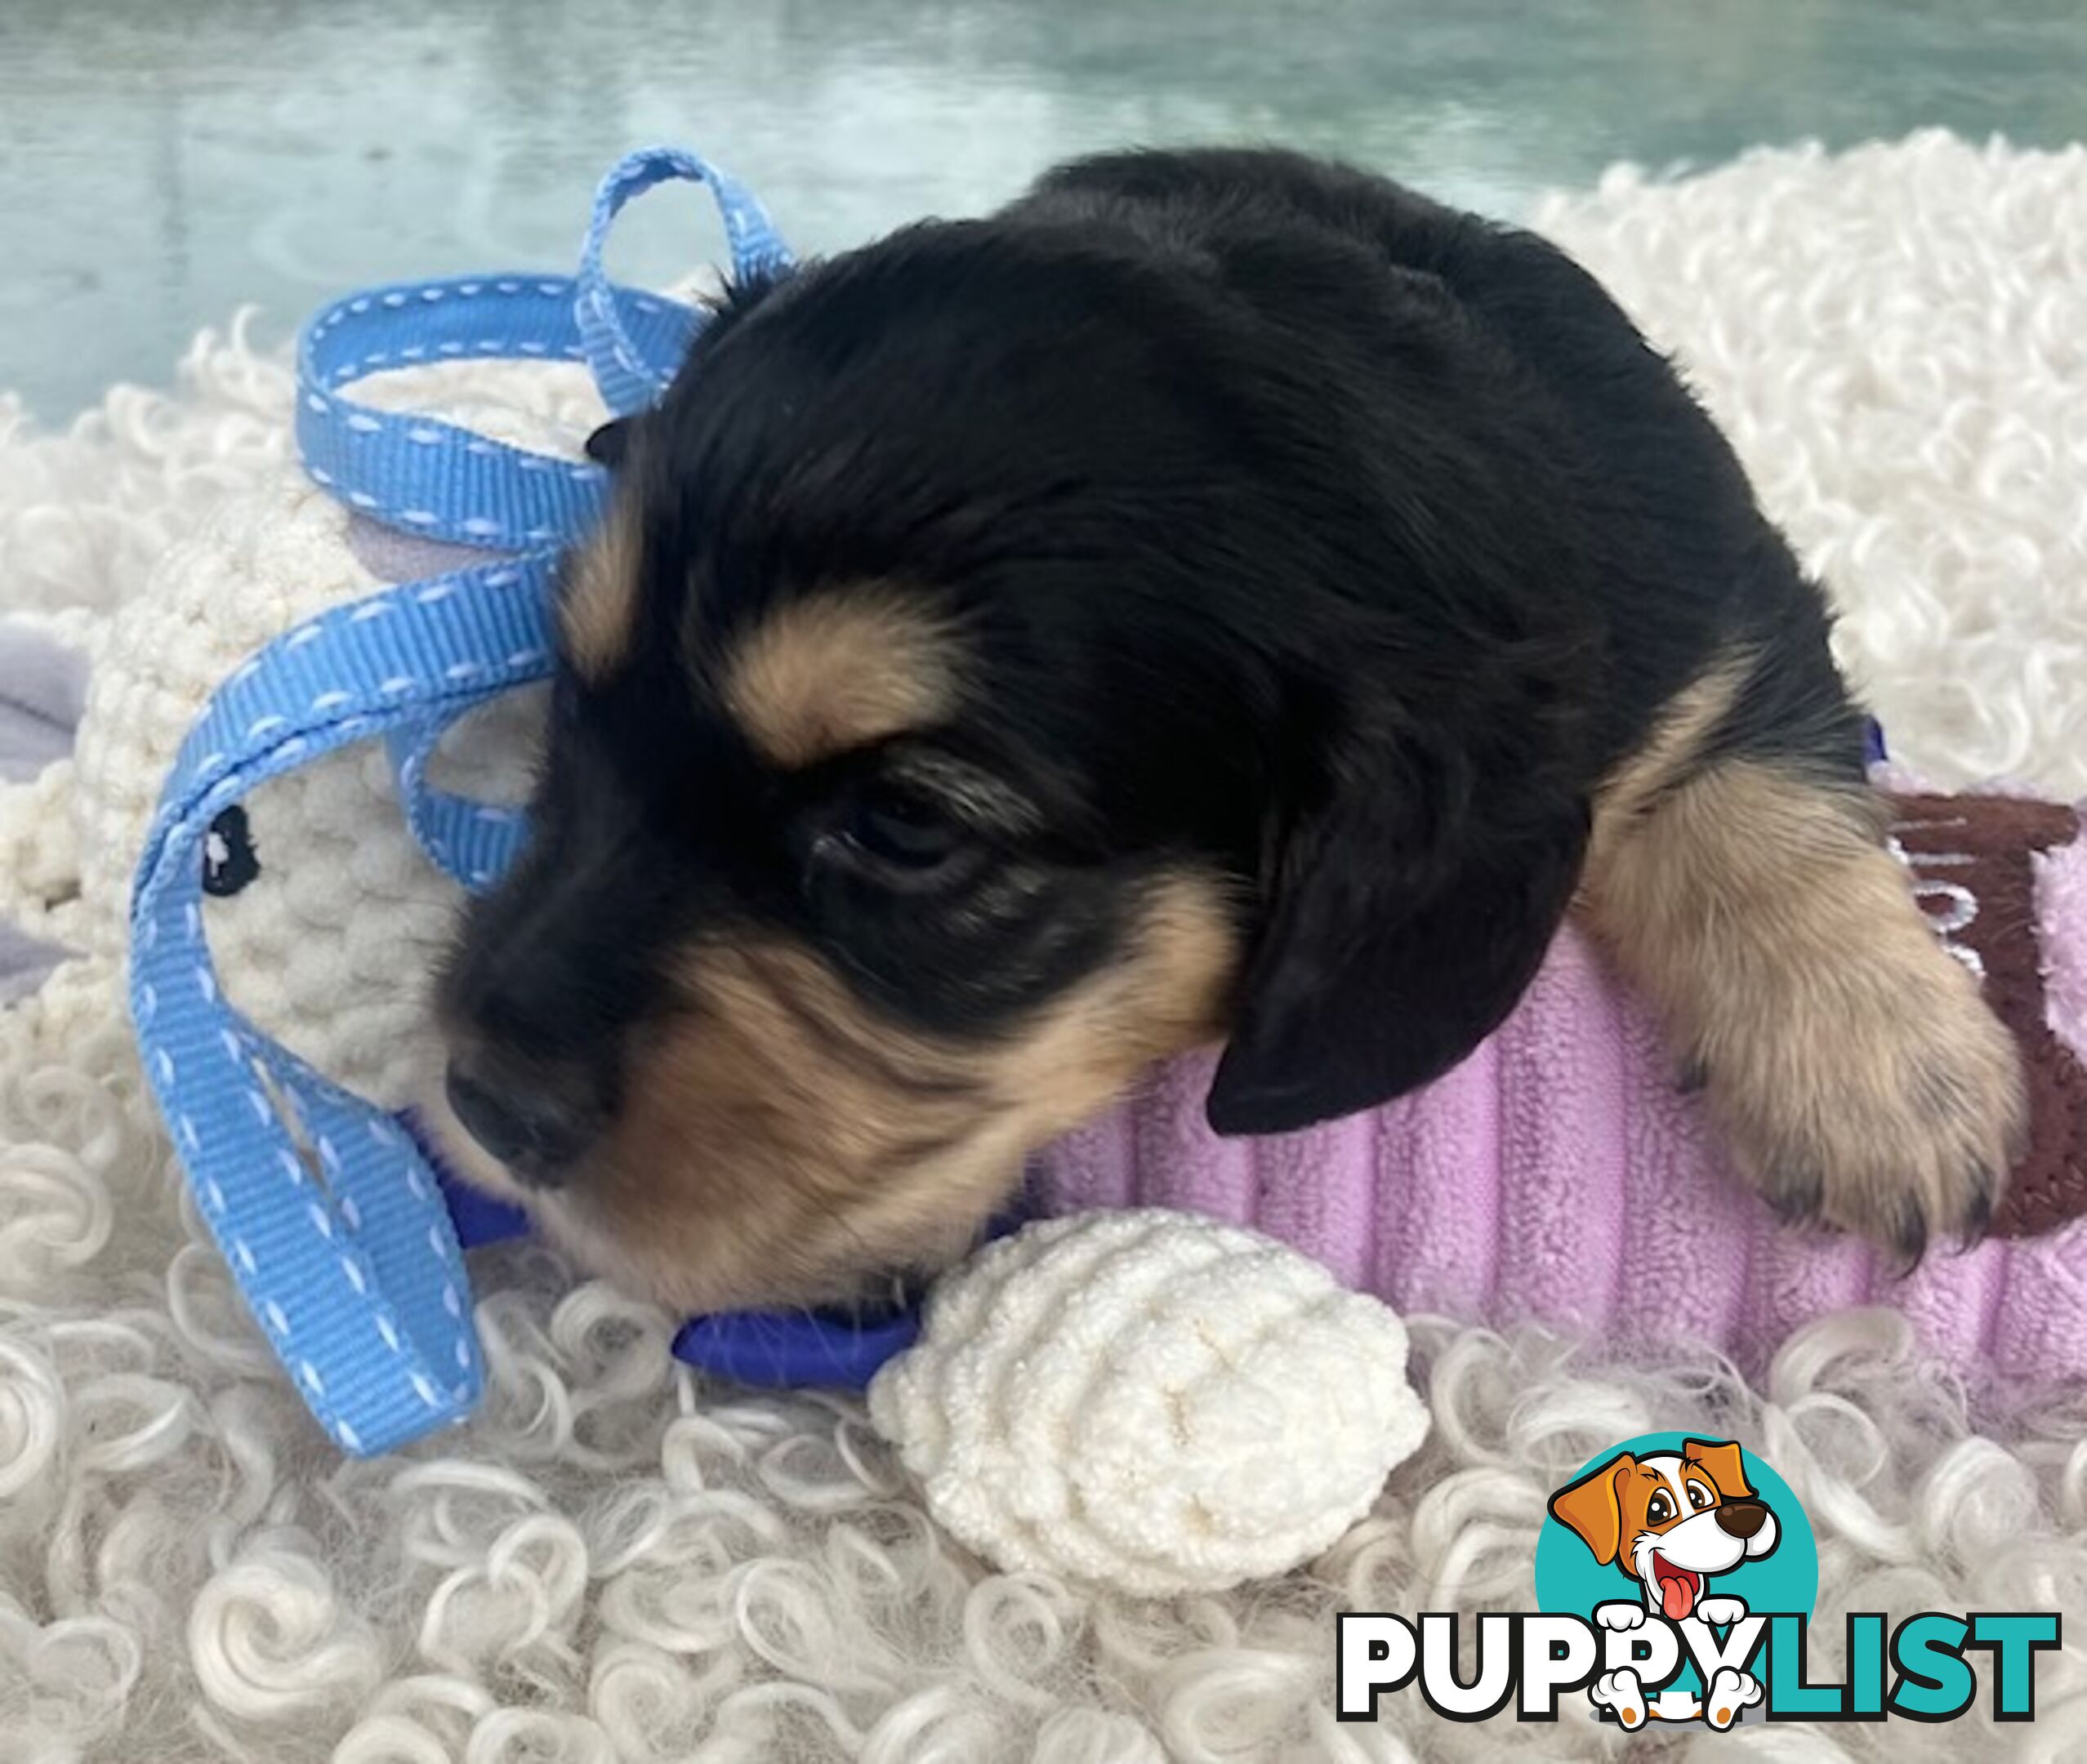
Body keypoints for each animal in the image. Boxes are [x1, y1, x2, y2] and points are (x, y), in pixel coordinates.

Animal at [427, 148, 2020, 1311]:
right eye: (574, 700)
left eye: (905, 826)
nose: (481, 1103)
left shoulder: (1722, 606)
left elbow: (1766, 785)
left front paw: (1882, 1077)